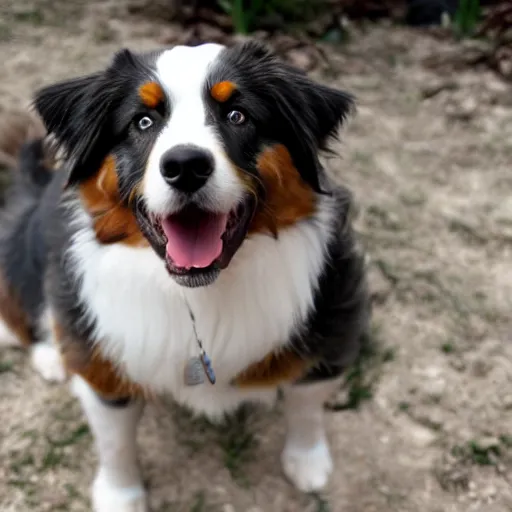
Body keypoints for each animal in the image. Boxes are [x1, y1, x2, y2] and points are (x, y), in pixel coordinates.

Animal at [0, 42, 368, 510]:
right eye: (143, 121)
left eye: (238, 115)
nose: (186, 165)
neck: (198, 292)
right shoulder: (105, 362)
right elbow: (115, 440)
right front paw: (120, 495)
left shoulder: (333, 316)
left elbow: (306, 401)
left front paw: (308, 462)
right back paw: (50, 353)